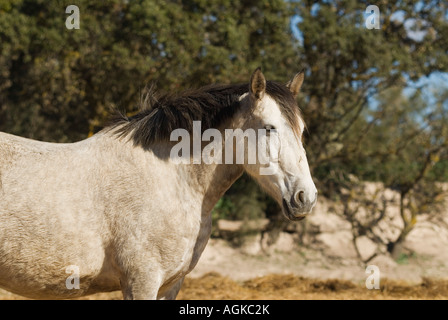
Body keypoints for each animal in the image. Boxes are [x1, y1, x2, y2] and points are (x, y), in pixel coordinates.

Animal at [0, 68, 316, 300]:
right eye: (269, 128)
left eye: (302, 129)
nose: (306, 198)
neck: (170, 181)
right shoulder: (142, 281)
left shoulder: (170, 284)